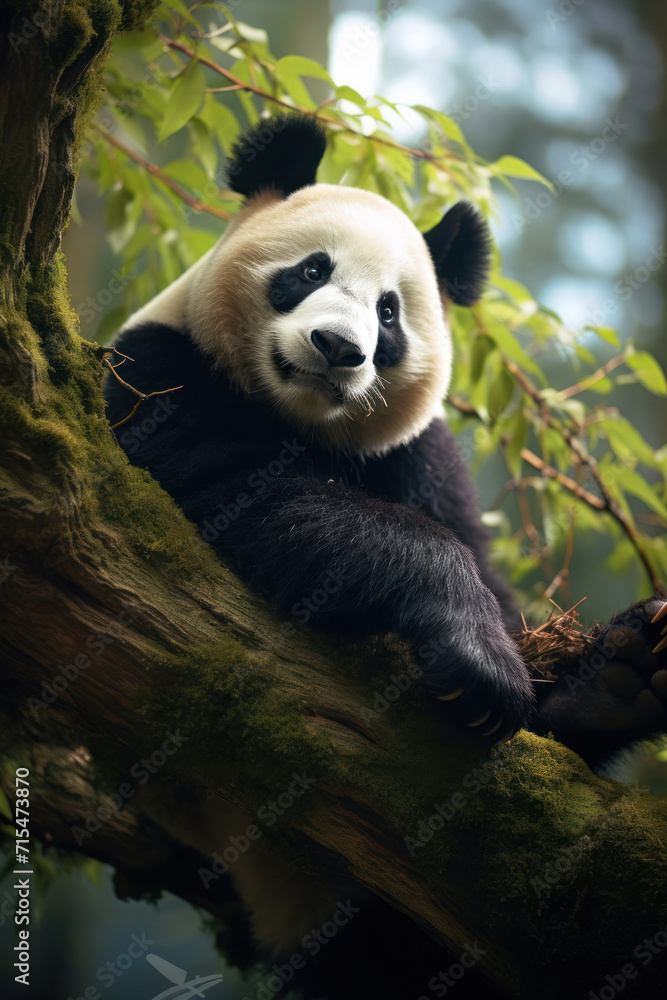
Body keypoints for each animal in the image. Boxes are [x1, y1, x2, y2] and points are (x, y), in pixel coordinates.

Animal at [104, 116, 667, 996]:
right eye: (309, 271)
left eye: (390, 313)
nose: (338, 347)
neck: (304, 421)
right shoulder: (160, 381)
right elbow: (264, 502)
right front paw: (475, 656)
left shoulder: (418, 455)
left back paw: (626, 675)